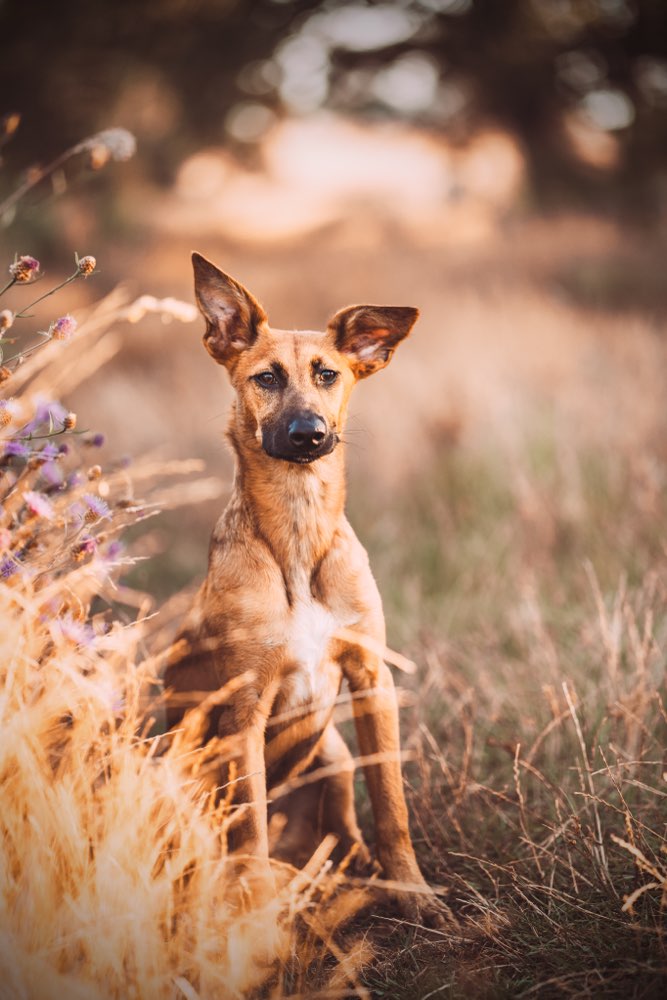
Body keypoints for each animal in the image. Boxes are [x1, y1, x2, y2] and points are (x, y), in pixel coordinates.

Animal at [164, 254, 440, 924]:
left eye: (327, 374)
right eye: (266, 378)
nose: (309, 433)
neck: (298, 526)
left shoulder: (372, 678)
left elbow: (391, 805)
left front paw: (412, 891)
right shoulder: (244, 707)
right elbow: (249, 827)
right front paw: (255, 903)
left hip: (334, 754)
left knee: (345, 830)